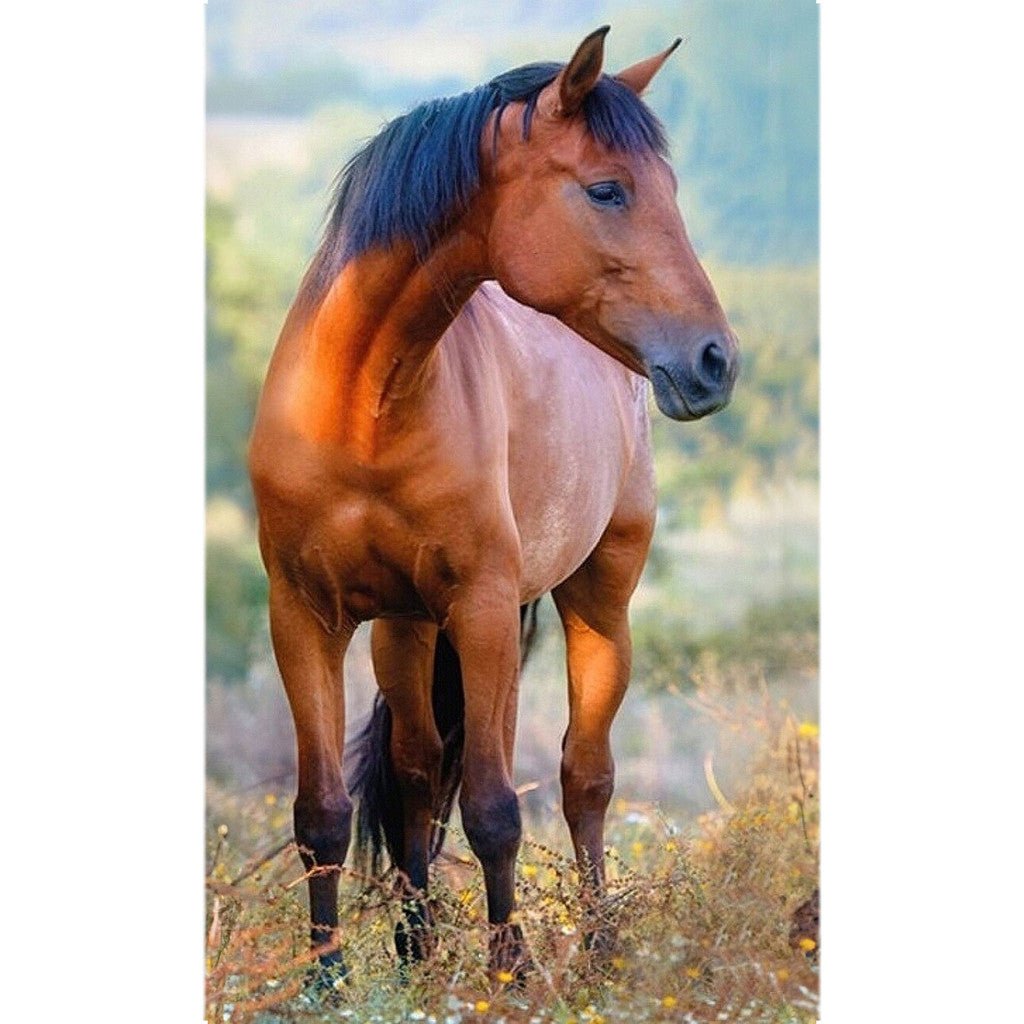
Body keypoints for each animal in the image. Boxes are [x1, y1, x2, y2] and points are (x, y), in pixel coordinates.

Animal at [248, 25, 738, 985]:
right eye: (606, 188)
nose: (714, 361)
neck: (364, 409)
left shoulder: (480, 608)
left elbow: (495, 810)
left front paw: (507, 971)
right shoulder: (305, 615)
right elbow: (322, 812)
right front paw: (328, 981)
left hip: (594, 602)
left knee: (583, 778)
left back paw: (597, 947)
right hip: (406, 630)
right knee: (415, 773)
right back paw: (415, 950)